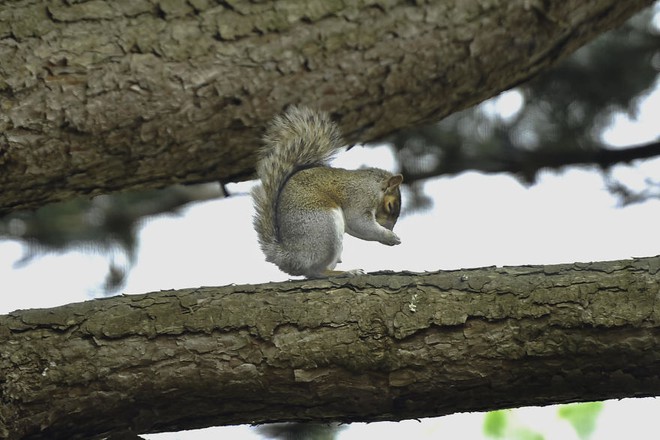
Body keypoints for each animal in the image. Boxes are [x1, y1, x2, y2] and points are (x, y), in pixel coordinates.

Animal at [251, 106, 402, 276]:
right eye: (390, 206)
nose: (390, 228)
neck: (374, 186)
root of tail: (290, 257)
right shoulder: (360, 197)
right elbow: (358, 222)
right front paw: (389, 236)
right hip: (325, 228)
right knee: (315, 271)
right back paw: (346, 272)